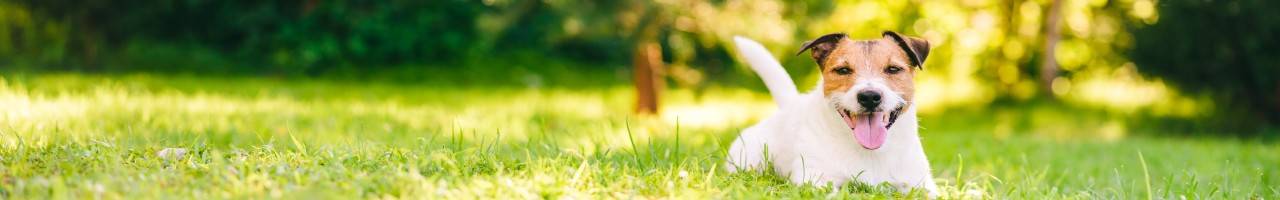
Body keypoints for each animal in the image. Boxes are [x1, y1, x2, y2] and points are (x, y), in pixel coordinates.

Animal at [732, 30, 942, 194]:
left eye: (893, 69)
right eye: (843, 70)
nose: (869, 97)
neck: (869, 152)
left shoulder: (920, 183)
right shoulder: (813, 178)